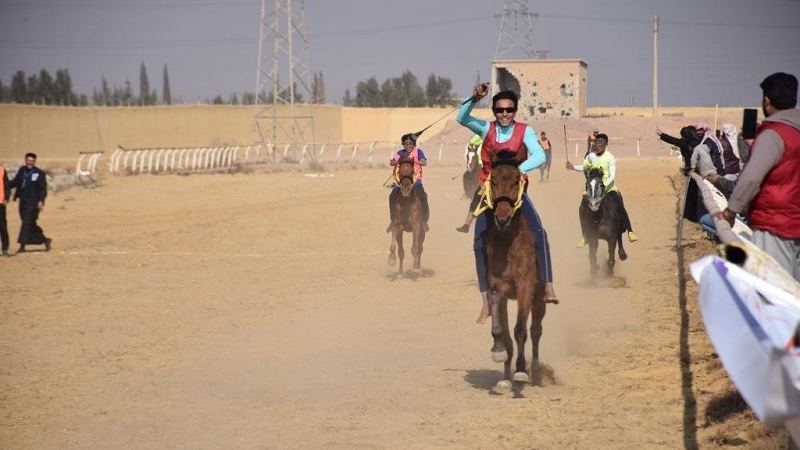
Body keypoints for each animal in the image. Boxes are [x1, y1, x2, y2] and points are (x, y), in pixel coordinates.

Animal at [482, 149, 552, 386]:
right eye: (493, 180)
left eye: (516, 179)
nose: (502, 218)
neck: (508, 242)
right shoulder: (499, 286)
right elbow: (502, 332)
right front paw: (499, 353)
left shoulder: (525, 287)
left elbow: (520, 330)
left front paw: (521, 371)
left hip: (540, 299)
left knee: (536, 330)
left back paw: (536, 370)